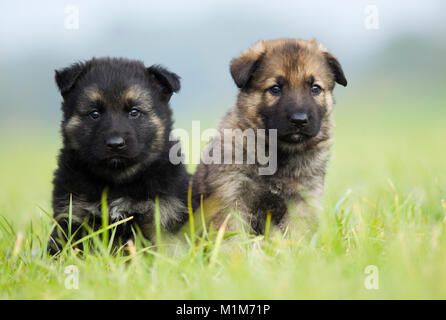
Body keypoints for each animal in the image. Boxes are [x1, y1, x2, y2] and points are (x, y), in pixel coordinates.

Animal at [48, 57, 192, 252]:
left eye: (134, 112)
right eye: (94, 113)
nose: (115, 144)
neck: (118, 181)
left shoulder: (160, 214)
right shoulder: (72, 214)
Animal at [193, 38, 346, 238]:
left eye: (315, 88)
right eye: (275, 88)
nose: (299, 120)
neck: (277, 154)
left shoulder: (301, 203)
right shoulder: (232, 196)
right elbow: (233, 236)